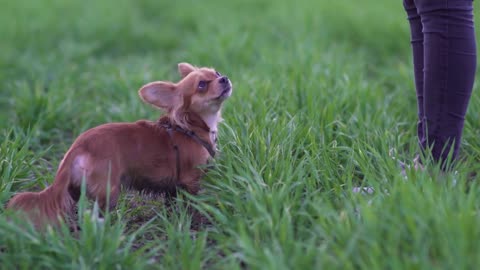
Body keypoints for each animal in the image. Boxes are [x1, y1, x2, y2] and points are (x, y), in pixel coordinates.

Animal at [7, 61, 232, 228]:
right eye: (202, 85)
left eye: (217, 72)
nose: (224, 78)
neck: (190, 127)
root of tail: (77, 147)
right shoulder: (191, 180)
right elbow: (193, 204)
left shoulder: (173, 187)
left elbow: (172, 204)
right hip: (109, 189)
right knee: (96, 216)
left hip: (76, 190)